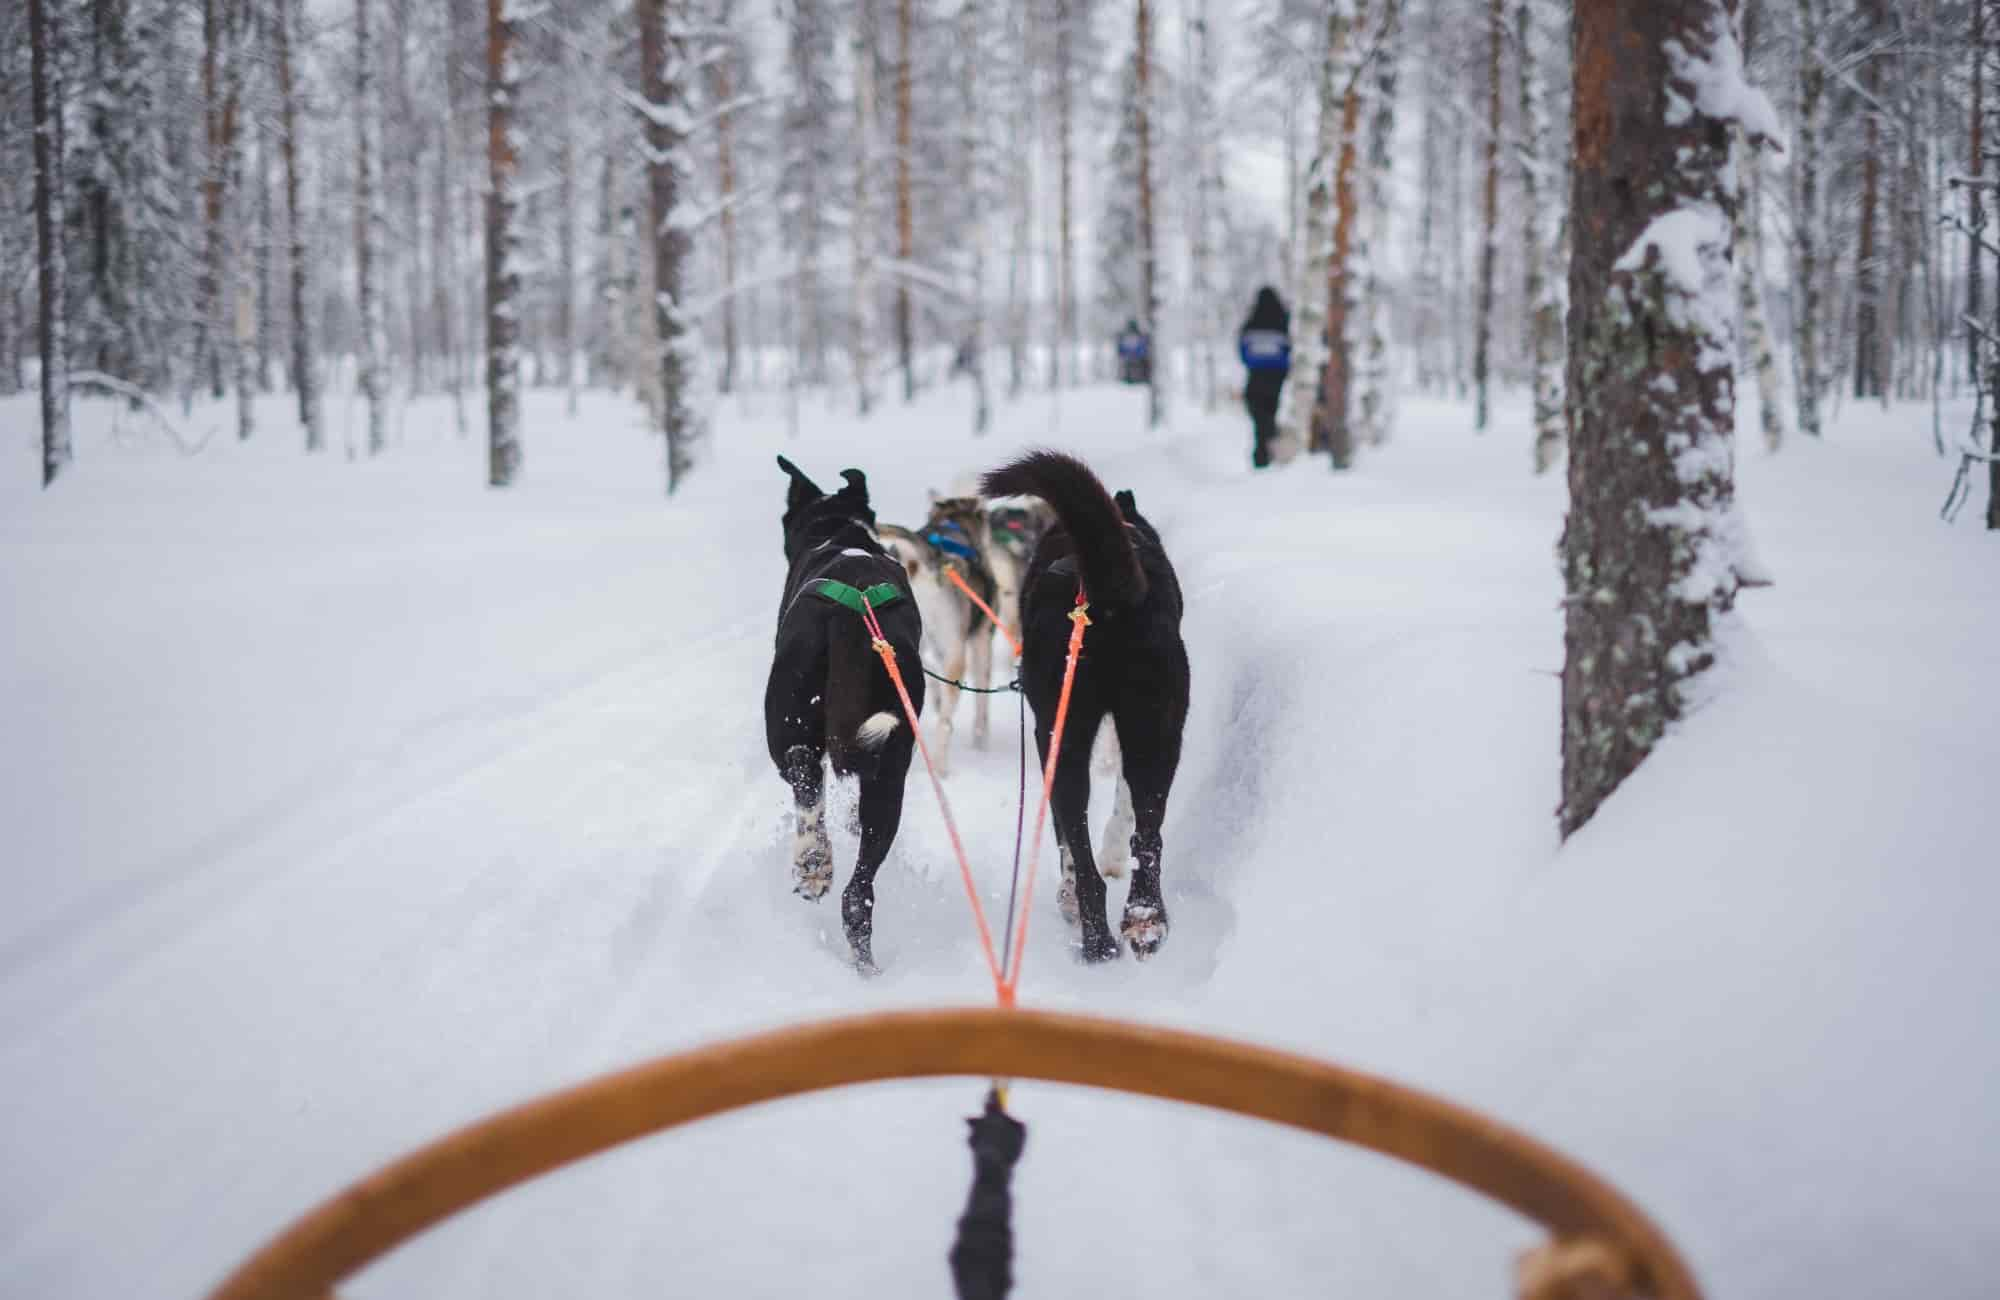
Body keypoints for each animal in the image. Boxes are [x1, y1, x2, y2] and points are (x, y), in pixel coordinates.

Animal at [768, 450, 924, 968]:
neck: (840, 533)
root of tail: (850, 613)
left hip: (786, 720)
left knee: (802, 771)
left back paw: (813, 862)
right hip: (890, 765)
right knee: (859, 896)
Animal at [984, 450, 1184, 956]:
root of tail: (1104, 592)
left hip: (1060, 737)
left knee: (1079, 847)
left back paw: (1094, 936)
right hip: (1155, 729)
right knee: (1147, 840)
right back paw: (1141, 921)